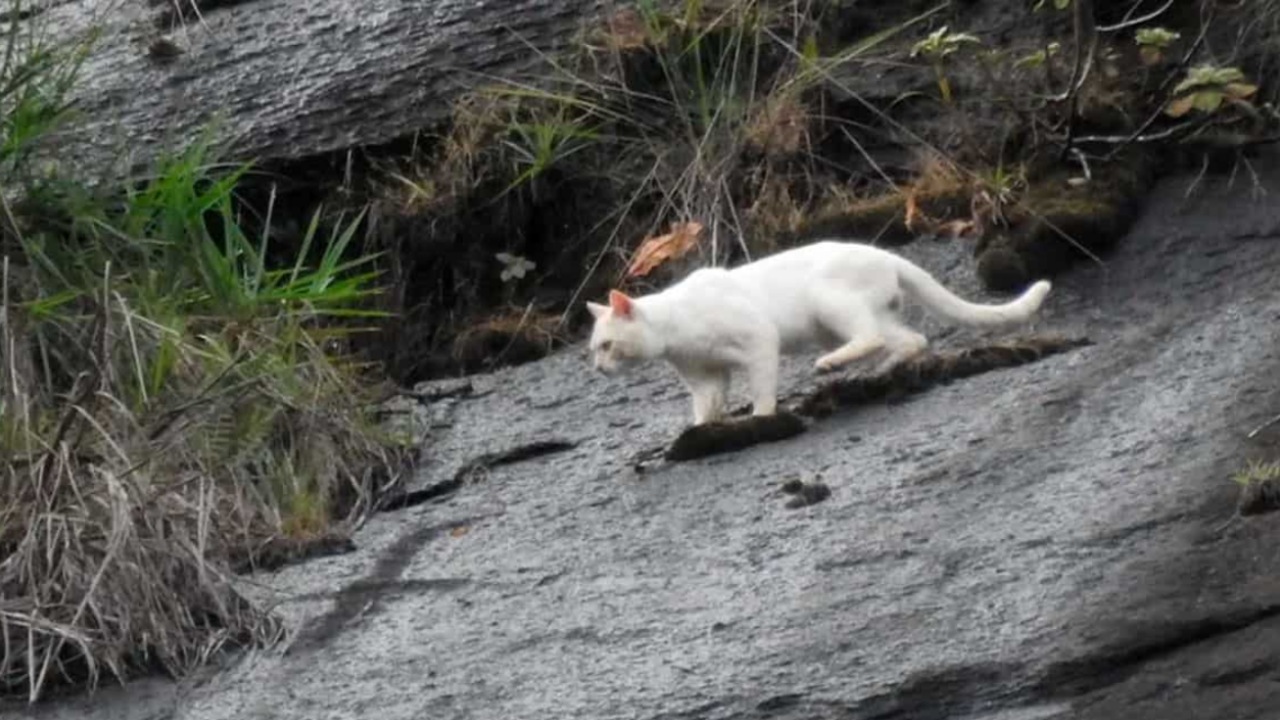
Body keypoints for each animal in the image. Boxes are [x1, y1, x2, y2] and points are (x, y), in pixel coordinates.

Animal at [588, 238, 1049, 422]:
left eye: (607, 345)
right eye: (593, 349)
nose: (598, 368)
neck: (675, 329)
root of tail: (886, 255)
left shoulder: (759, 340)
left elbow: (762, 392)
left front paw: (761, 419)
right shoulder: (705, 379)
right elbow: (704, 411)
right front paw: (700, 430)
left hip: (827, 302)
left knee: (875, 337)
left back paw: (830, 365)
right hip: (847, 319)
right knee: (909, 339)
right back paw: (879, 370)